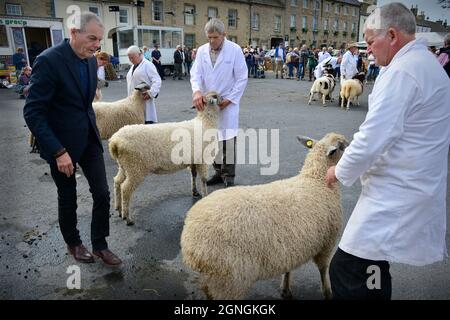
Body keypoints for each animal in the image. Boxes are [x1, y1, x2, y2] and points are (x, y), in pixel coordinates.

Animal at [109, 90, 221, 225]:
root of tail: (115, 142)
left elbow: (193, 175)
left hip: (125, 166)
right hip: (136, 167)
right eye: (217, 97)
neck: (205, 122)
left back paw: (118, 209)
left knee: (117, 182)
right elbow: (203, 179)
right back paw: (127, 218)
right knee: (125, 189)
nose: (224, 100)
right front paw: (205, 195)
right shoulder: (203, 159)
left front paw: (195, 191)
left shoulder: (193, 159)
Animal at [181, 132, 350, 300]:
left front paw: (285, 289)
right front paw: (327, 292)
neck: (316, 179)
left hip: (214, 279)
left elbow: (288, 269)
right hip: (230, 280)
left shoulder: (290, 248)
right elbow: (323, 270)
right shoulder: (327, 243)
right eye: (342, 146)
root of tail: (189, 242)